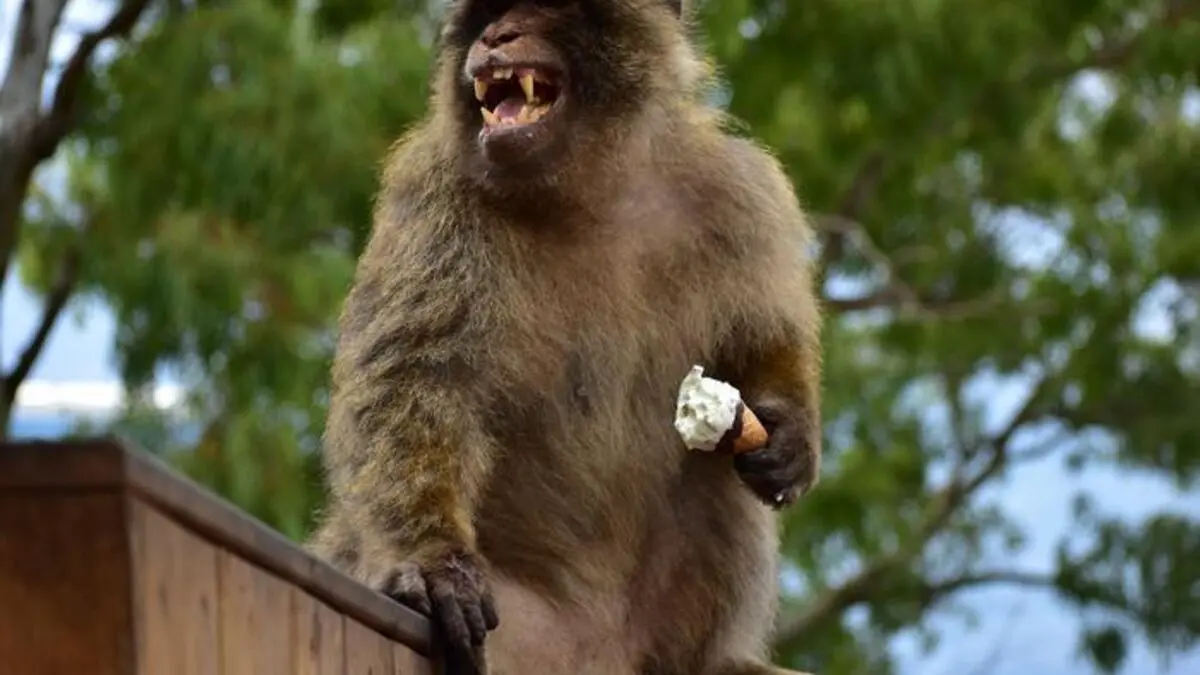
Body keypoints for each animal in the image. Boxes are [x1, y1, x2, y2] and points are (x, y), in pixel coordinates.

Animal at [307, 0, 823, 674]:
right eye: (488, 13)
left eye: (535, 10)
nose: (495, 35)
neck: (592, 186)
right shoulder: (436, 197)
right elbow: (413, 381)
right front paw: (433, 562)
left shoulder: (738, 191)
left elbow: (761, 338)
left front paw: (789, 432)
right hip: (520, 632)